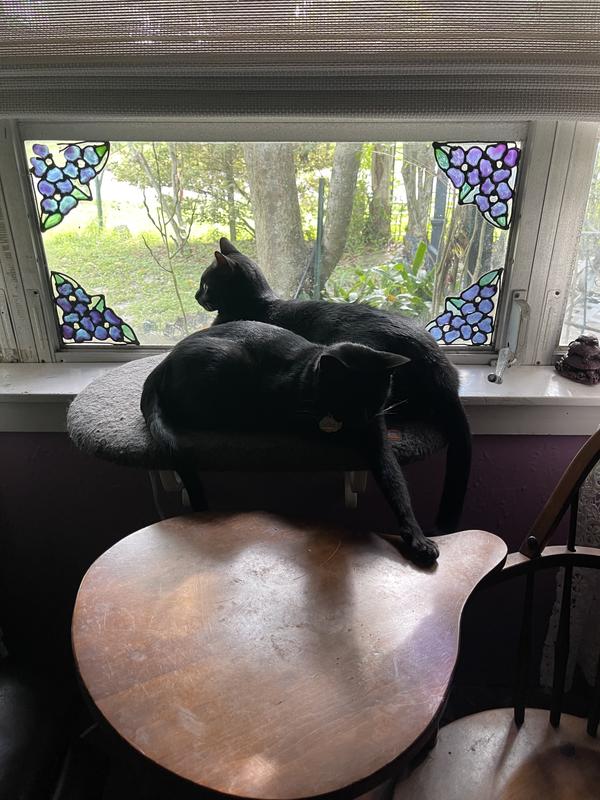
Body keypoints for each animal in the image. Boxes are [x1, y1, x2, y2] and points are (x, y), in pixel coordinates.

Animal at [141, 319, 439, 565]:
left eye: (378, 397)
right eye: (348, 399)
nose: (363, 418)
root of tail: (161, 363)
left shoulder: (378, 442)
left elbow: (397, 487)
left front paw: (418, 539)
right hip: (228, 363)